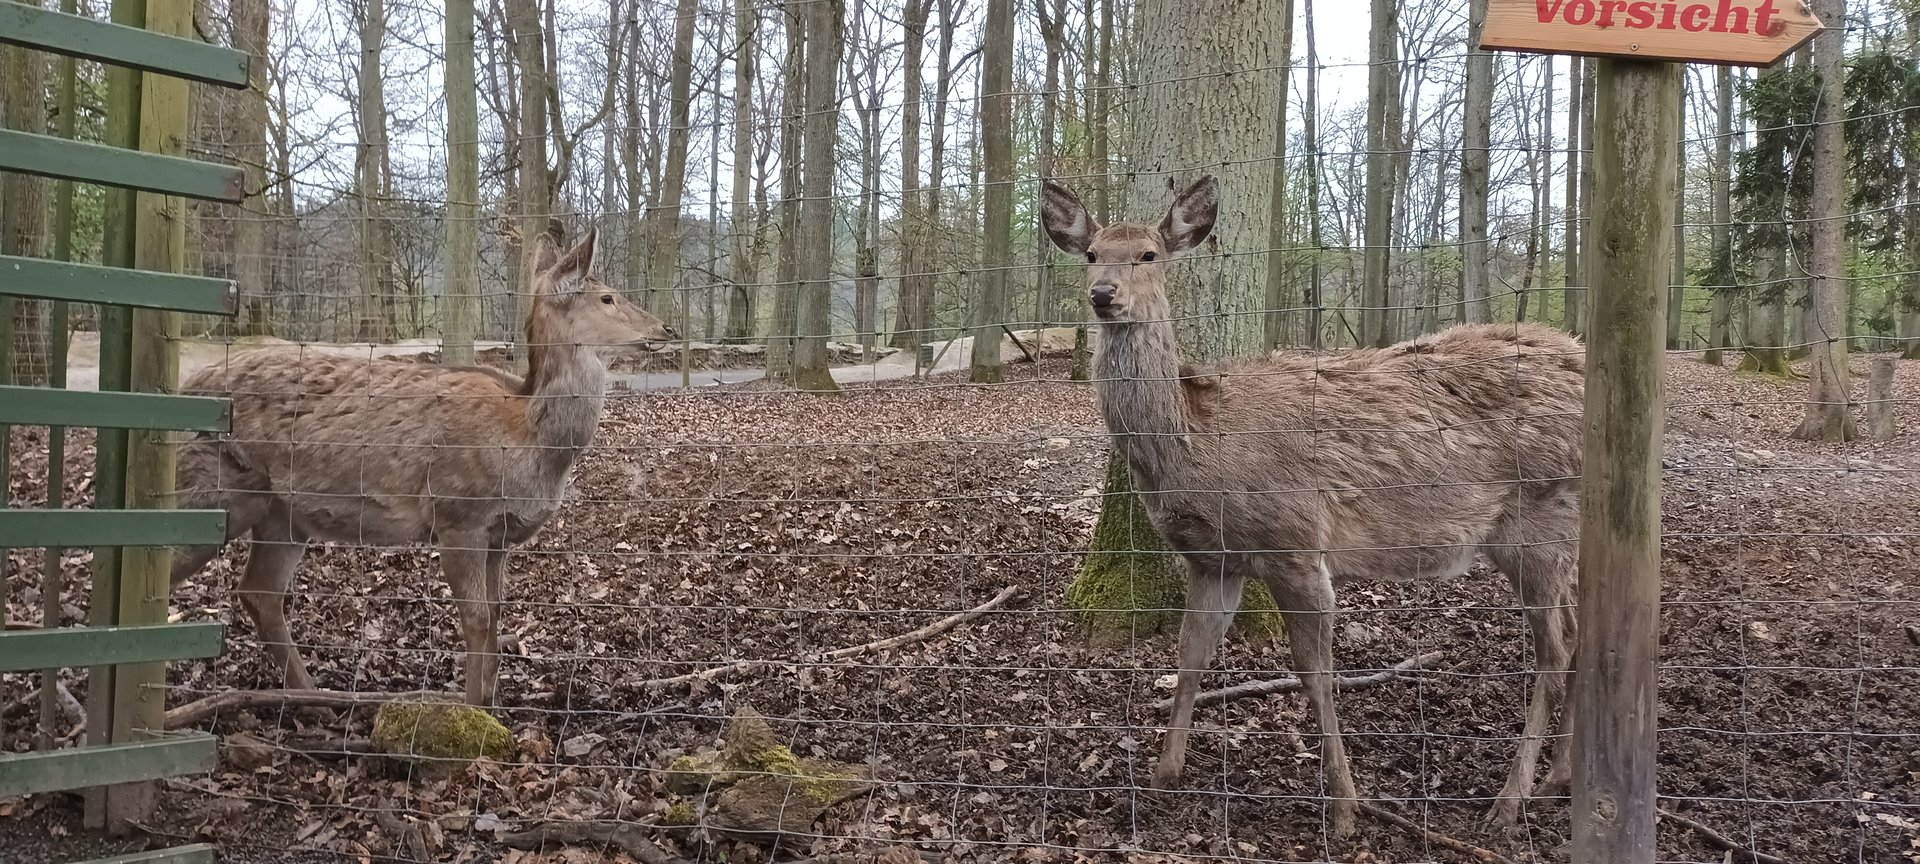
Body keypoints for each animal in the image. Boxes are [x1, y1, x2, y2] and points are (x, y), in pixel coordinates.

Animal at [169, 226, 673, 707]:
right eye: (607, 297)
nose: (665, 328)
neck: (525, 442)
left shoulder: (500, 535)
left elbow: (496, 613)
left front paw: (494, 704)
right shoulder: (457, 516)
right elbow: (475, 618)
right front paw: (472, 710)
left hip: (281, 513)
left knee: (259, 592)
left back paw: (311, 696)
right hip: (205, 492)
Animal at [1041, 175, 1585, 834]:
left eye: (1148, 255)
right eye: (1092, 253)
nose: (1102, 295)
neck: (1196, 446)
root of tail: (1583, 358)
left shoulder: (1295, 543)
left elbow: (1315, 675)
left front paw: (1346, 806)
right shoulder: (1212, 559)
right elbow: (1190, 654)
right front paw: (1162, 775)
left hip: (1541, 519)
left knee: (1555, 649)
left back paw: (1511, 800)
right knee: (1579, 630)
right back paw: (1558, 779)